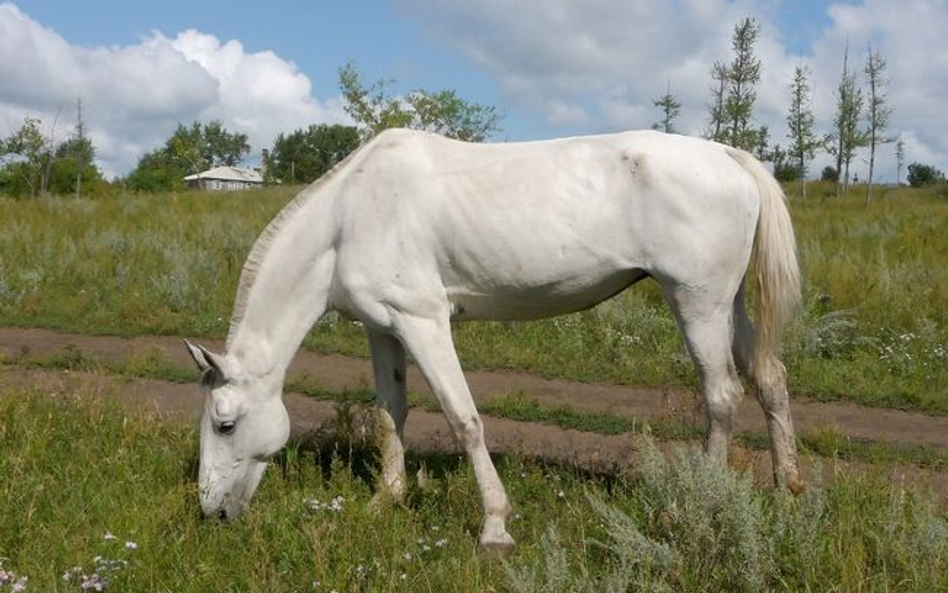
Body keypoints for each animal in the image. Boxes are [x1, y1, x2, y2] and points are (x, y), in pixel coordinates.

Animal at [183, 128, 800, 552]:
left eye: (225, 424)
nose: (211, 512)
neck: (348, 216)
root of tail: (727, 157)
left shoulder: (423, 320)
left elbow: (464, 417)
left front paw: (495, 527)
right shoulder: (383, 328)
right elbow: (390, 414)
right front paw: (386, 499)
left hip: (698, 303)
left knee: (722, 396)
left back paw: (699, 505)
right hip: (728, 306)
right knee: (769, 379)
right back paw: (788, 490)